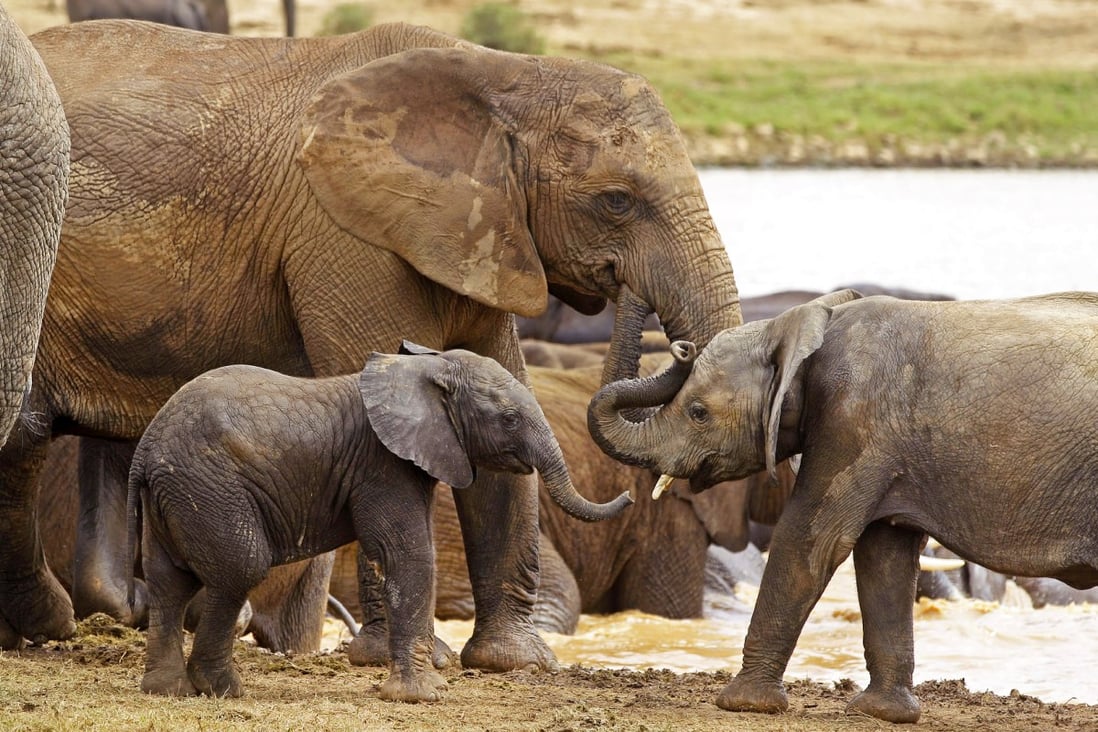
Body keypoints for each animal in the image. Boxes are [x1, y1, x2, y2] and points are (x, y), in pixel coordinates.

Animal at [130, 344, 631, 700]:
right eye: (509, 419)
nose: (629, 495)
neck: (424, 369)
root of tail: (146, 448)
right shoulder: (382, 464)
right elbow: (407, 553)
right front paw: (423, 696)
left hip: (175, 496)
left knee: (168, 581)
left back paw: (169, 689)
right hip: (208, 487)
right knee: (240, 569)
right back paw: (221, 689)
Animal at [588, 289, 1098, 723]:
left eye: (698, 412)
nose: (682, 347)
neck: (802, 325)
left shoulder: (854, 420)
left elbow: (812, 537)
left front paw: (742, 704)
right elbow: (884, 554)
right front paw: (882, 714)